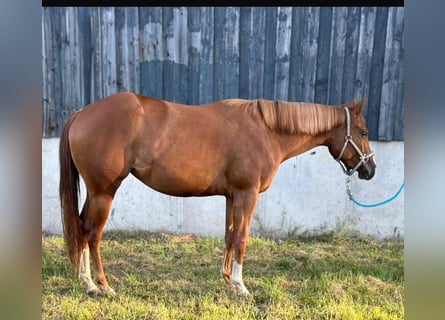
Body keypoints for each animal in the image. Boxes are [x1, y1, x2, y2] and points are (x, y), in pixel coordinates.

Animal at [57, 91, 372, 296]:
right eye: (364, 132)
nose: (371, 170)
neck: (266, 131)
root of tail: (82, 114)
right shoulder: (247, 194)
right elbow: (242, 239)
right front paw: (242, 287)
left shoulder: (232, 196)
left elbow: (230, 236)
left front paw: (228, 279)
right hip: (104, 191)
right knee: (93, 233)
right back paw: (102, 285)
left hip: (95, 192)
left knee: (81, 228)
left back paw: (86, 282)